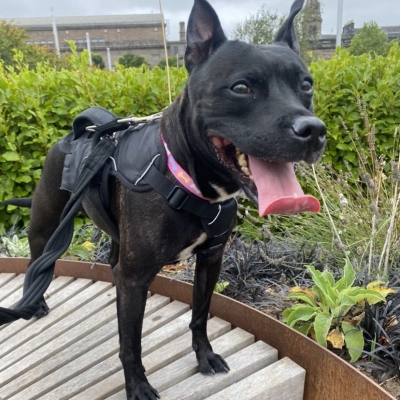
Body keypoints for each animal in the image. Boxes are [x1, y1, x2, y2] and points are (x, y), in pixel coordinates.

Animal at [3, 0, 324, 396]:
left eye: (306, 85)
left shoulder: (210, 259)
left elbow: (200, 315)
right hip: (46, 225)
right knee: (37, 261)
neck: (187, 178)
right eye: (241, 87)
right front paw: (138, 386)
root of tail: (77, 133)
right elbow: (130, 343)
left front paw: (204, 356)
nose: (313, 130)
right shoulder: (135, 278)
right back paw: (36, 303)